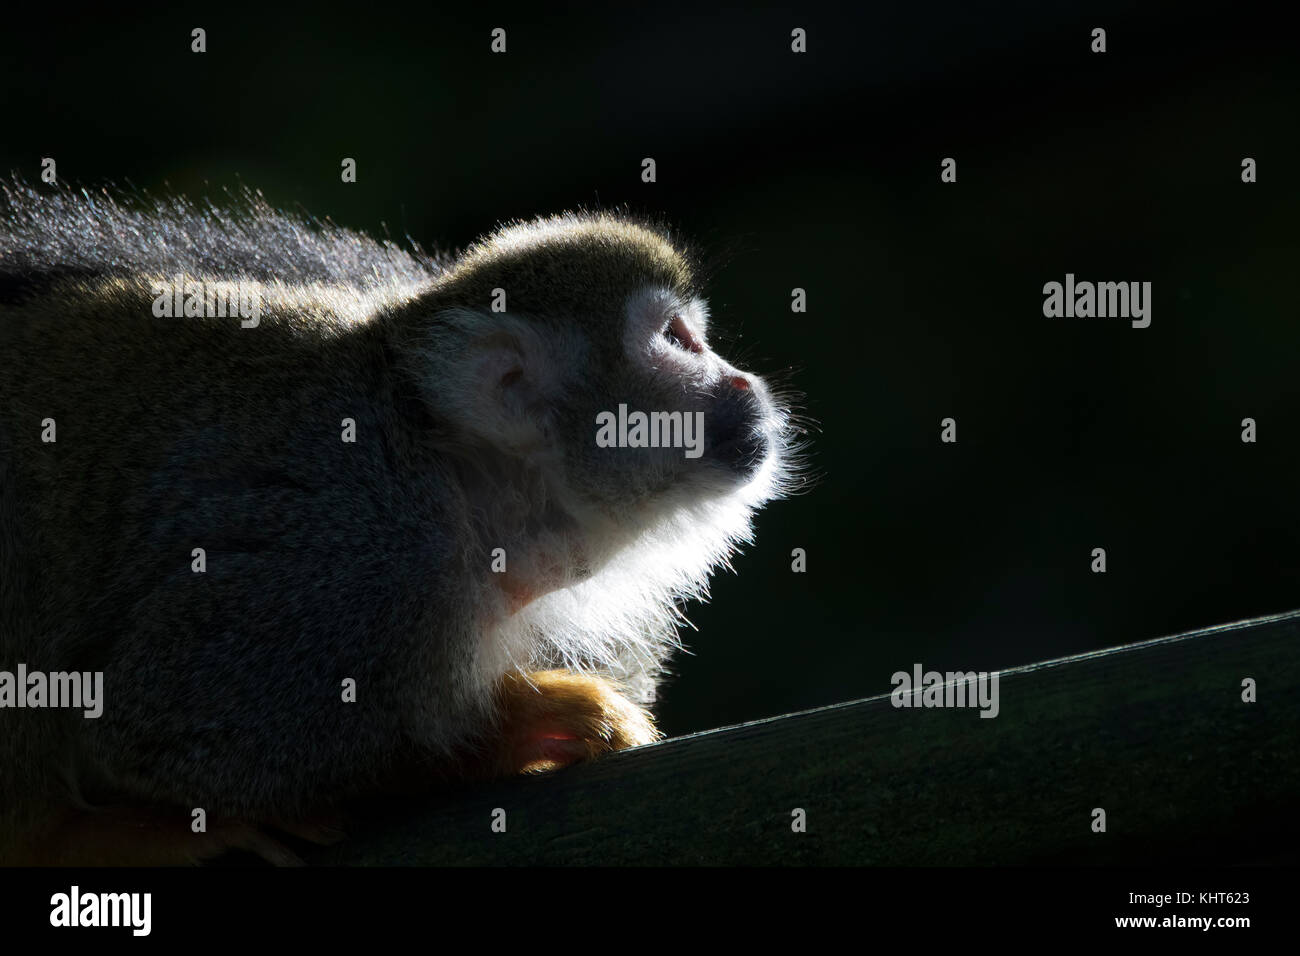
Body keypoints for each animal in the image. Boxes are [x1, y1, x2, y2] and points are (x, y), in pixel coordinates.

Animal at [0, 180, 795, 868]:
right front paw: (512, 734)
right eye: (678, 339)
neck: (466, 489)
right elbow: (154, 730)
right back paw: (59, 838)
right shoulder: (357, 564)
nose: (743, 382)